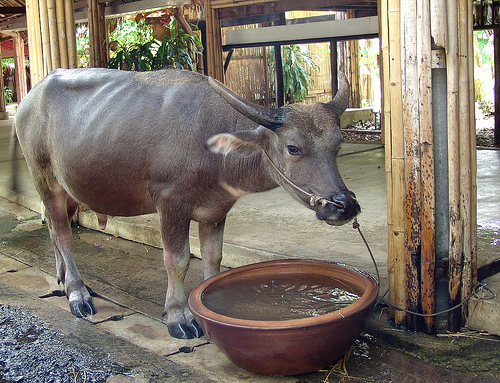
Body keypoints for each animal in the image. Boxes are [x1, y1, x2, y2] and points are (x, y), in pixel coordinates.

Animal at [14, 68, 360, 340]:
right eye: (293, 148)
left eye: (338, 143)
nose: (344, 205)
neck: (213, 149)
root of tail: (30, 99)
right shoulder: (170, 203)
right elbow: (177, 260)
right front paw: (178, 316)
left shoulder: (215, 210)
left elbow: (213, 257)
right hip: (45, 178)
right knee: (62, 232)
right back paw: (77, 293)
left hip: (69, 188)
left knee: (54, 226)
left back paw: (61, 278)